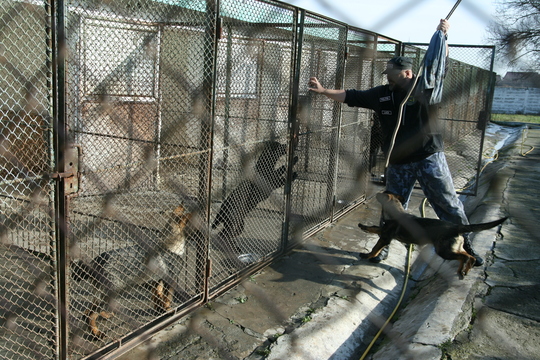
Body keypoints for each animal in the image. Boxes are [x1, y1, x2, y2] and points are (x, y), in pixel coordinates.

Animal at [72, 205, 192, 338]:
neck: (171, 244)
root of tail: (97, 260)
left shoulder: (157, 281)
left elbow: (157, 296)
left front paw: (159, 309)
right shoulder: (170, 281)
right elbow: (167, 300)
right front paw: (168, 310)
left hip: (102, 293)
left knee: (89, 309)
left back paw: (104, 315)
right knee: (91, 315)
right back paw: (96, 333)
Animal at [358, 193, 506, 278]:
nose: (377, 193)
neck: (395, 211)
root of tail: (455, 226)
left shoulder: (385, 237)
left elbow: (375, 248)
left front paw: (367, 255)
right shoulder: (383, 231)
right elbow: (374, 228)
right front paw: (363, 227)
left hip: (444, 250)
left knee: (466, 257)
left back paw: (464, 269)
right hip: (453, 247)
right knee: (467, 256)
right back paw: (463, 270)